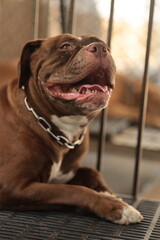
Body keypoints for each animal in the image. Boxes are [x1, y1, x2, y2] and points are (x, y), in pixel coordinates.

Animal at [0, 34, 142, 225]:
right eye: (65, 46)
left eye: (105, 46)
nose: (100, 48)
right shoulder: (13, 187)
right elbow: (74, 190)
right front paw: (116, 207)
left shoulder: (69, 170)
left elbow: (92, 171)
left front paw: (110, 195)